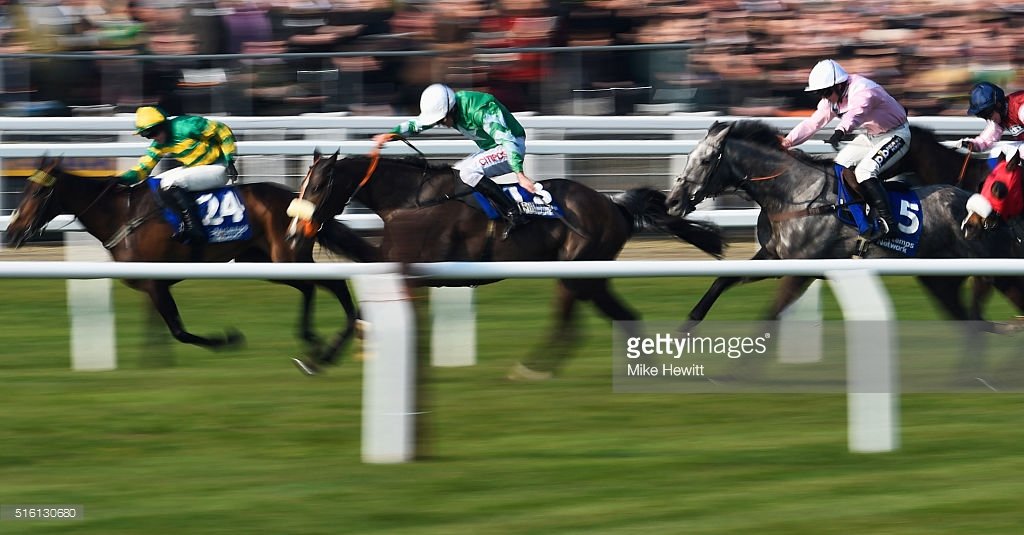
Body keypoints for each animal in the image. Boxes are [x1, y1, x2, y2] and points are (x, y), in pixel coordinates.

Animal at [5, 156, 372, 366]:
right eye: (23, 189)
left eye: (37, 192)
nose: (10, 233)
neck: (122, 216)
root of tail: (302, 202)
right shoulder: (152, 285)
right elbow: (157, 325)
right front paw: (153, 361)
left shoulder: (155, 282)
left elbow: (179, 330)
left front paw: (228, 339)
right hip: (263, 260)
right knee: (314, 287)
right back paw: (324, 341)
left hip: (287, 256)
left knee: (331, 283)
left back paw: (328, 343)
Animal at [285, 150, 725, 378]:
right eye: (303, 183)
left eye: (319, 184)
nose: (294, 233)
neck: (410, 201)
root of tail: (613, 205)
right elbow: (362, 313)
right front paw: (320, 358)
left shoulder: (413, 271)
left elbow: (361, 313)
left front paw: (319, 358)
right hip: (590, 276)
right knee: (621, 316)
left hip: (577, 272)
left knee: (571, 324)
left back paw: (533, 367)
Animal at [664, 120, 1024, 328]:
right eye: (688, 158)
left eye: (706, 160)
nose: (673, 202)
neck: (795, 193)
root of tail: (984, 213)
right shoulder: (774, 257)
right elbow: (722, 279)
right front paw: (687, 326)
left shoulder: (802, 270)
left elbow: (769, 316)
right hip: (942, 279)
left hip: (992, 271)